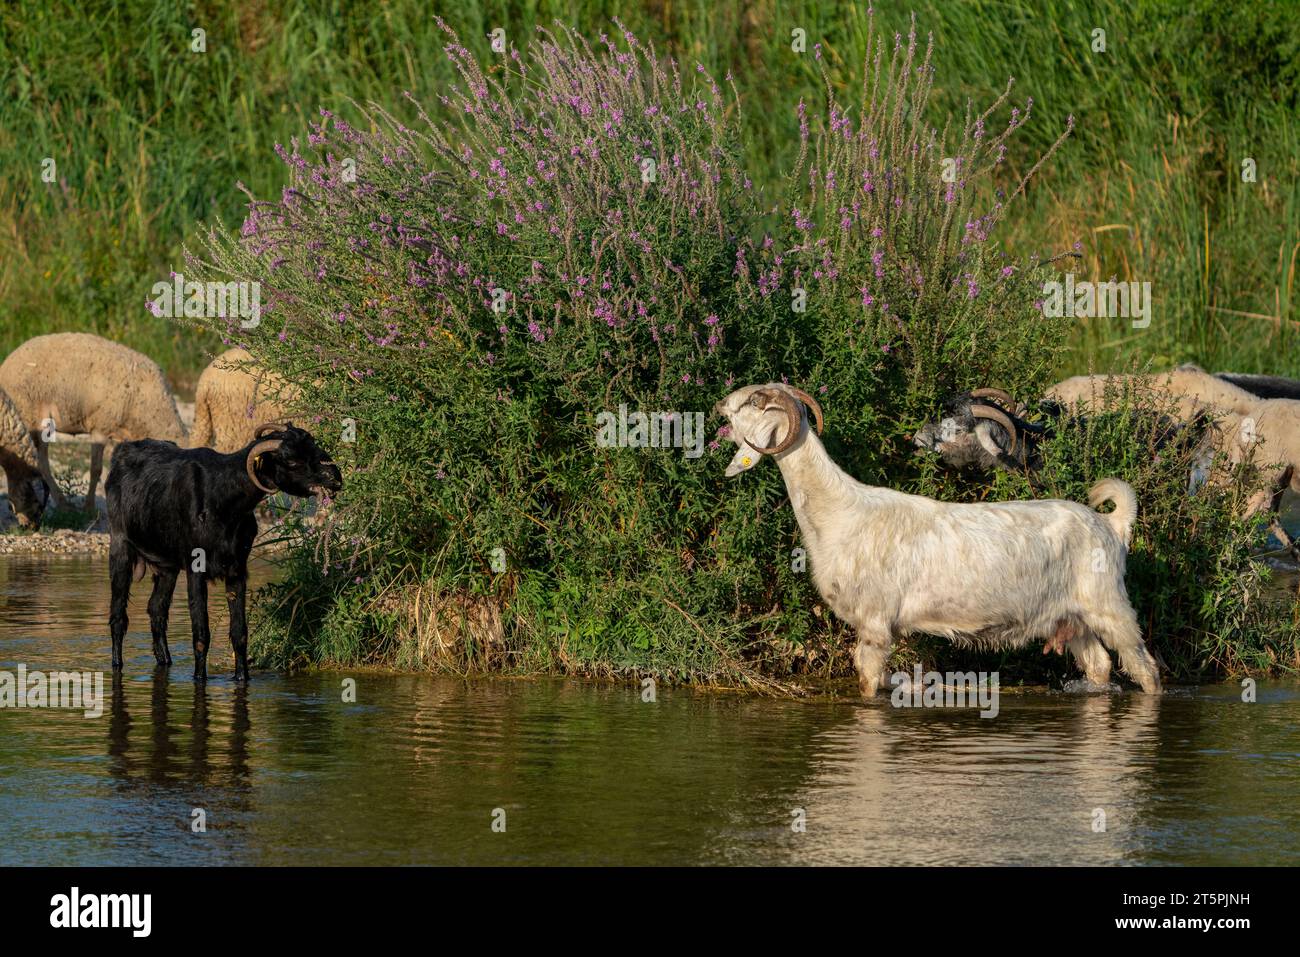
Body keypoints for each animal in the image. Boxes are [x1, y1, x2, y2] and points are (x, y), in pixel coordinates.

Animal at [0, 330, 185, 512]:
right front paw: (89, 508)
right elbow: (96, 469)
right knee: (40, 462)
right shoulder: (100, 428)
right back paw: (62, 504)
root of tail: (6, 364)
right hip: (31, 417)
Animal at [107, 421, 340, 681]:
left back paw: (165, 660)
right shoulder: (196, 569)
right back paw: (117, 663)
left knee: (157, 610)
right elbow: (201, 635)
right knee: (118, 617)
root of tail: (122, 453)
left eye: (313, 445)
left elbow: (239, 633)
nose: (335, 477)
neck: (223, 499)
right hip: (120, 549)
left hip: (167, 568)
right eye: (291, 460)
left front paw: (241, 677)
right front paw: (199, 677)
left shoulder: (237, 570)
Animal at [717, 382, 1164, 696]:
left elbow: (867, 682)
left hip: (1110, 606)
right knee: (1100, 665)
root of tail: (1112, 524)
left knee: (1145, 667)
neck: (839, 512)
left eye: (755, 401)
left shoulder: (875, 623)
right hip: (1072, 617)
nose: (721, 404)